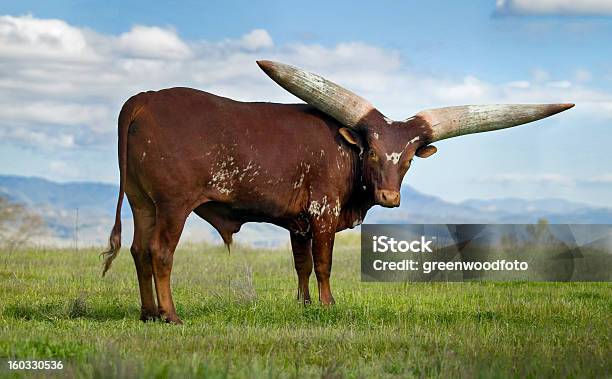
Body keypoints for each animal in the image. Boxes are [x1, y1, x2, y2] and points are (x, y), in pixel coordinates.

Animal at [101, 60, 572, 324]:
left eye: (408, 159)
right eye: (373, 150)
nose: (390, 198)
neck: (347, 155)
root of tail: (144, 99)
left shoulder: (297, 223)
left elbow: (301, 265)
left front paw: (304, 305)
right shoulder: (322, 214)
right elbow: (324, 265)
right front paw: (327, 305)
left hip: (143, 204)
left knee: (139, 251)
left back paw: (147, 314)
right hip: (172, 205)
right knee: (161, 253)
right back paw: (171, 315)